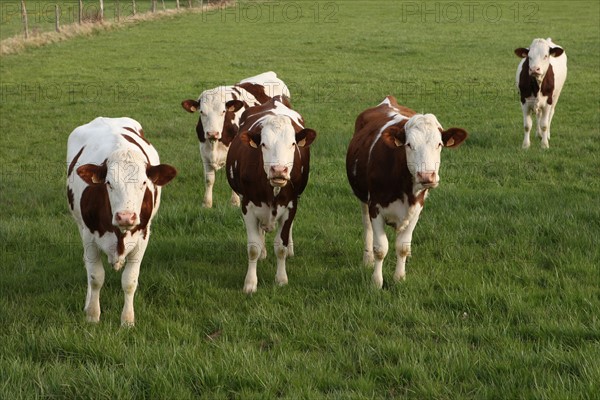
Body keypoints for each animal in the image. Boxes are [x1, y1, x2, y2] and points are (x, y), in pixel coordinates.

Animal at [67, 117, 177, 326]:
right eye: (109, 183)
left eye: (144, 183)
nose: (126, 216)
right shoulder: (89, 236)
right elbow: (95, 277)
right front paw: (92, 315)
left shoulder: (143, 237)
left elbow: (130, 281)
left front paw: (127, 321)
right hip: (79, 224)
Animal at [180, 71, 290, 208]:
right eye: (201, 112)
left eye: (223, 111)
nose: (212, 133)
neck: (215, 144)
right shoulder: (204, 152)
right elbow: (209, 179)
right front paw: (207, 203)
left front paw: (235, 201)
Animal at [226, 97, 318, 294]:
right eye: (263, 144)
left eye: (292, 144)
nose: (279, 170)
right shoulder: (248, 206)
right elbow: (253, 247)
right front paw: (250, 283)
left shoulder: (291, 205)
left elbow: (280, 246)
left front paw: (281, 279)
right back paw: (263, 253)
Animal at [346, 97, 468, 290]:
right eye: (409, 145)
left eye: (439, 144)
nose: (426, 176)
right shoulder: (375, 207)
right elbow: (381, 248)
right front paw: (376, 282)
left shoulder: (416, 208)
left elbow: (402, 246)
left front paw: (399, 278)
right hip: (363, 200)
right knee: (367, 227)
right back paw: (367, 259)